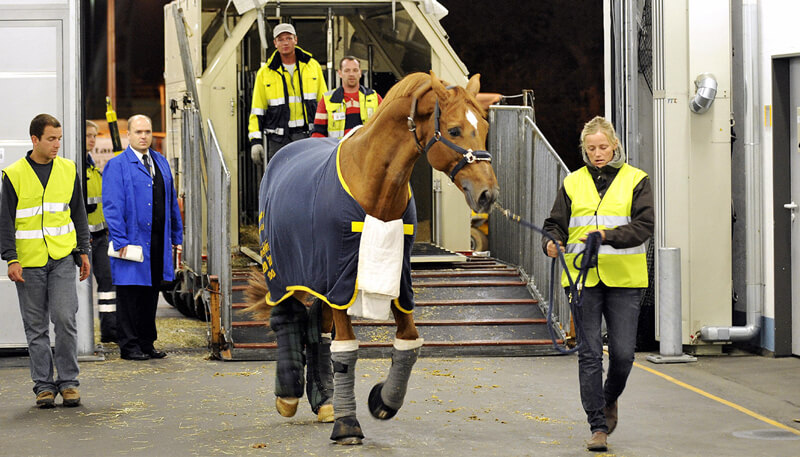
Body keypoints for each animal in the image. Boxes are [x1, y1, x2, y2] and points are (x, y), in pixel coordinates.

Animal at [247, 71, 499, 444]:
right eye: (454, 130)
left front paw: (383, 401)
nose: (488, 194)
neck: (373, 186)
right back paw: (288, 396)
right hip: (282, 272)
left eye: (483, 126)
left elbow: (408, 342)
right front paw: (347, 425)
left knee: (316, 329)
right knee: (287, 318)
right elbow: (346, 349)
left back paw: (324, 399)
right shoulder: (340, 278)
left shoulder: (395, 279)